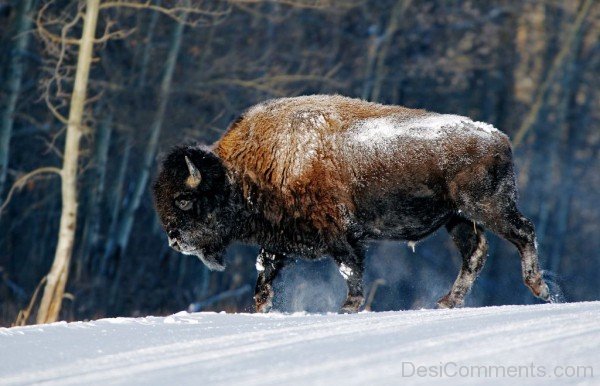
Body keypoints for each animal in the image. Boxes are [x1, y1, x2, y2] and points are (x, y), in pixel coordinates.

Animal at [152, 94, 552, 314]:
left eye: (184, 199)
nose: (174, 241)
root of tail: (500, 138)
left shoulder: (342, 235)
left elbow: (350, 270)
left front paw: (347, 306)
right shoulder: (279, 241)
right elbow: (264, 276)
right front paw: (262, 307)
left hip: (488, 207)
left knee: (523, 233)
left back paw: (539, 288)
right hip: (457, 219)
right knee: (475, 253)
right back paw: (445, 302)